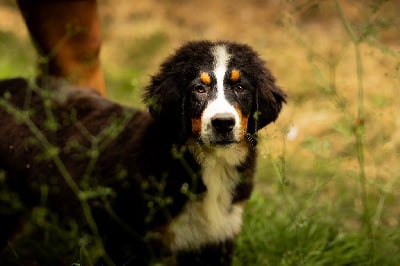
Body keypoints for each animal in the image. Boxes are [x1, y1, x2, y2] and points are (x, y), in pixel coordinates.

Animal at [0, 40, 288, 264]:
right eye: (199, 88)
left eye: (241, 87)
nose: (223, 123)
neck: (209, 165)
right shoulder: (126, 241)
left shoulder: (215, 240)